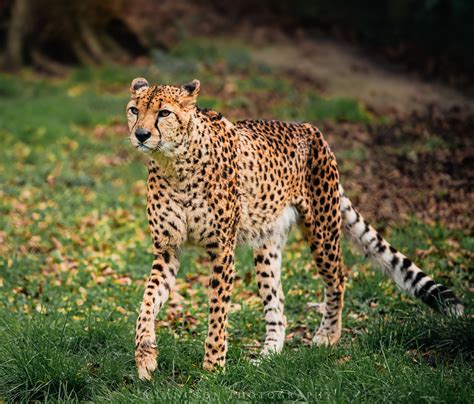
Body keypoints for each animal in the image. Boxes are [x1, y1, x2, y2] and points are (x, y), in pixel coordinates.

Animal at [126, 78, 462, 378]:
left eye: (164, 113)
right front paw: (145, 356)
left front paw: (213, 368)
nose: (141, 134)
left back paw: (328, 335)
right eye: (133, 110)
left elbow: (217, 313)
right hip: (267, 245)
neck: (174, 164)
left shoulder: (222, 250)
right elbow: (147, 301)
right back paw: (268, 354)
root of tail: (308, 128)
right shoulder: (167, 250)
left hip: (323, 231)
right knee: (278, 304)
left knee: (338, 278)